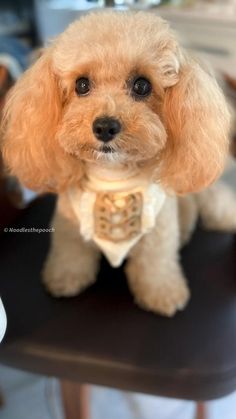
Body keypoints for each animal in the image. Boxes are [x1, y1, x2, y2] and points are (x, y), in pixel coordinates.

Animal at [1, 11, 230, 316]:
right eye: (81, 84)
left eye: (142, 85)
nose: (105, 127)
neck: (113, 180)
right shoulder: (69, 224)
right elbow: (70, 252)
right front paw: (65, 279)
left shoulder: (158, 231)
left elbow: (157, 263)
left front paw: (163, 293)